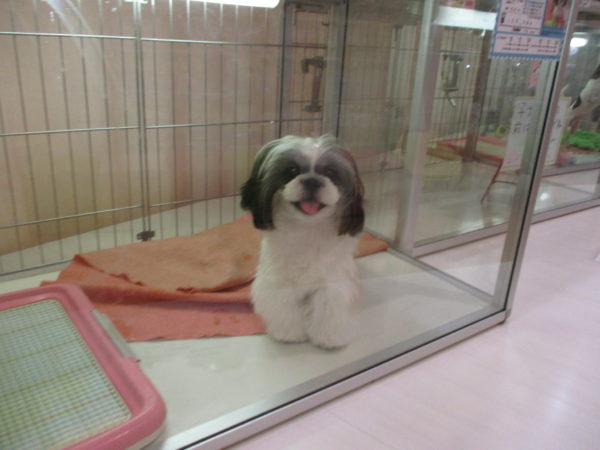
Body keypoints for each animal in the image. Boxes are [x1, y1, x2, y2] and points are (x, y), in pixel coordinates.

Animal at [240, 135, 364, 349]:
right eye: (292, 170)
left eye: (330, 172)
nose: (312, 181)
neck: (307, 229)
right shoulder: (278, 281)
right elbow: (284, 306)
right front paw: (288, 333)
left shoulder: (332, 282)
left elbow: (329, 306)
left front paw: (328, 337)